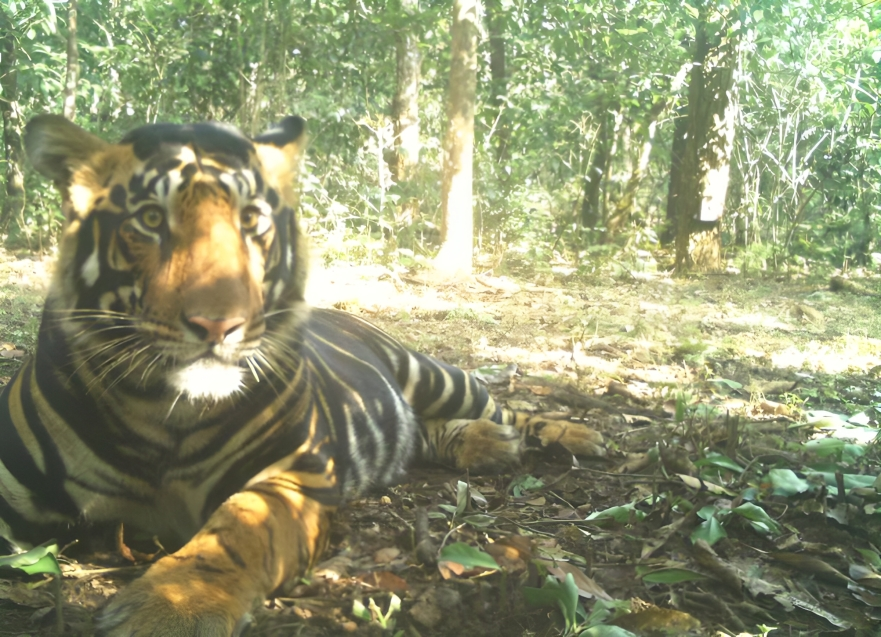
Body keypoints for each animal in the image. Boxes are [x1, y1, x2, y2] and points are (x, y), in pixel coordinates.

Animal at [0, 114, 604, 636]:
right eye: (150, 219)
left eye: (251, 220)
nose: (219, 323)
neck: (161, 411)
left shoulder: (291, 474)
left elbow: (237, 530)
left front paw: (171, 609)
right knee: (433, 431)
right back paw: (488, 446)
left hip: (431, 373)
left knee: (505, 407)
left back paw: (574, 436)